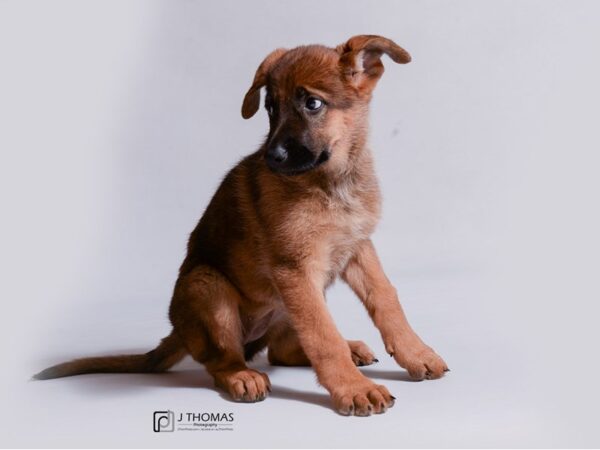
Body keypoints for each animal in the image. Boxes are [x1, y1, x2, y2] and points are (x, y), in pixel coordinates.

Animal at [34, 36, 446, 418]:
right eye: (270, 107)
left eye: (312, 104)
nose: (272, 157)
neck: (331, 182)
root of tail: (178, 332)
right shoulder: (296, 269)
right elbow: (323, 336)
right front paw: (355, 388)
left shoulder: (357, 248)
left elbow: (386, 300)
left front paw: (416, 353)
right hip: (207, 286)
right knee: (223, 360)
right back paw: (242, 376)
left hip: (287, 306)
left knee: (282, 351)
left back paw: (350, 348)